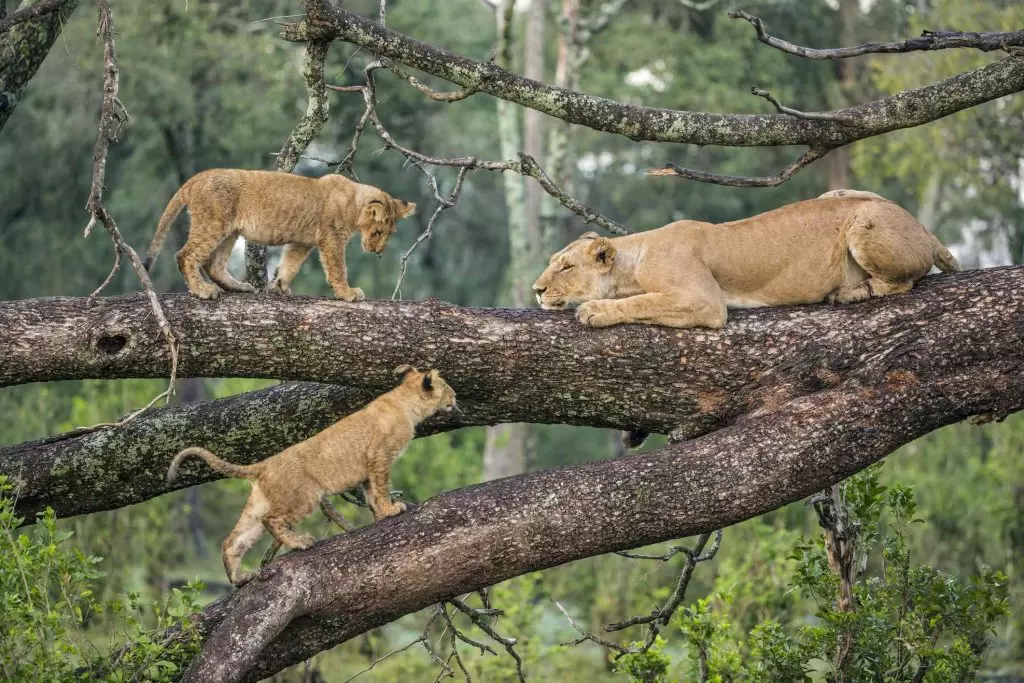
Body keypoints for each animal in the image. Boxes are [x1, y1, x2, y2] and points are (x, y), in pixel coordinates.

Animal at [144, 169, 416, 301]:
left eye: (390, 234)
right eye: (378, 232)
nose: (378, 251)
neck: (353, 202)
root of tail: (198, 177)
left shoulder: (302, 243)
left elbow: (290, 265)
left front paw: (279, 286)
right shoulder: (331, 239)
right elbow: (338, 269)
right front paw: (348, 293)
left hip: (229, 231)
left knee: (214, 264)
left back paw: (240, 287)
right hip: (213, 223)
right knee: (186, 255)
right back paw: (203, 290)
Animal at [165, 364, 455, 586]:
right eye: (447, 386)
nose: (456, 398)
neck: (405, 401)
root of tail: (263, 464)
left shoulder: (367, 469)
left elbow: (371, 494)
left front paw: (381, 514)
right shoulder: (380, 456)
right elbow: (382, 488)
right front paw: (392, 509)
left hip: (258, 506)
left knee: (232, 541)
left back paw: (240, 578)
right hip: (304, 498)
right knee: (273, 521)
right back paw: (299, 543)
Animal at [532, 191, 960, 330]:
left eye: (566, 267)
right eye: (553, 260)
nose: (536, 289)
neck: (634, 259)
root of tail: (923, 228)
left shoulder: (704, 299)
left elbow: (642, 301)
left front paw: (594, 310)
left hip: (863, 221)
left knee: (903, 281)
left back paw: (850, 292)